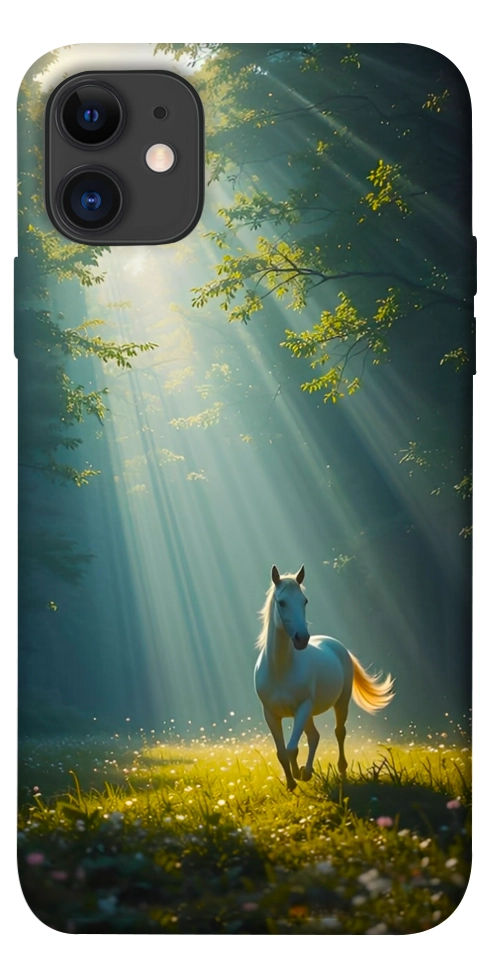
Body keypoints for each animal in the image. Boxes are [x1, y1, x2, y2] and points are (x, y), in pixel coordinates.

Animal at [254, 564, 394, 791]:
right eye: (282, 602)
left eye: (304, 601)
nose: (302, 638)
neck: (280, 669)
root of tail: (336, 645)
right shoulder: (271, 715)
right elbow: (282, 752)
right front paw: (292, 782)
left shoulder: (302, 708)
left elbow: (292, 748)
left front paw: (298, 774)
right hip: (308, 714)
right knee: (314, 736)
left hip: (340, 703)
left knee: (339, 732)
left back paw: (340, 770)